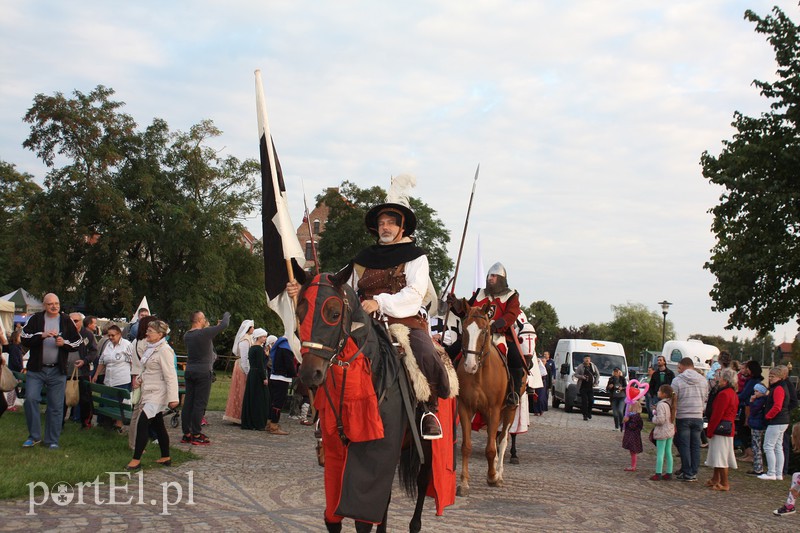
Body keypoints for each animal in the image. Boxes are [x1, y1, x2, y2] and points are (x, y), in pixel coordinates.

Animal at [456, 304, 524, 494]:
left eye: (484, 330)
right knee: (493, 437)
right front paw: (464, 482)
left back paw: (498, 472)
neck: (480, 374)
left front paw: (493, 476)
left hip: (509, 410)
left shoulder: (494, 410)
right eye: (464, 329)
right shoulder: (465, 408)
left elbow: (492, 449)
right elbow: (466, 446)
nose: (470, 365)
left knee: (502, 440)